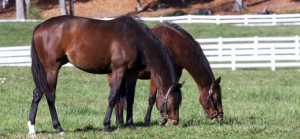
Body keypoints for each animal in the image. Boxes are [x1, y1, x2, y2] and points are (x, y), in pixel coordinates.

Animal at [28, 15, 184, 136]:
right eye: (173, 102)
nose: (174, 122)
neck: (137, 40)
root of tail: (40, 26)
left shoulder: (132, 74)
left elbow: (130, 99)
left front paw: (131, 124)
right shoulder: (119, 70)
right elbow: (113, 97)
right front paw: (107, 125)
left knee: (37, 93)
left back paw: (32, 128)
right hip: (52, 69)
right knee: (50, 96)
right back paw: (58, 128)